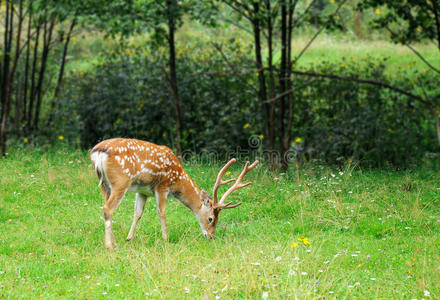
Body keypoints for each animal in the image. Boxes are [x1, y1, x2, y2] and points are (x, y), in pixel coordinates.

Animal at [91, 138, 260, 248]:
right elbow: (162, 212)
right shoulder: (162, 186)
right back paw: (109, 246)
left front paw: (129, 238)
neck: (178, 179)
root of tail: (97, 153)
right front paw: (166, 239)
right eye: (211, 218)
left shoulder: (143, 191)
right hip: (121, 181)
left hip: (104, 184)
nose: (211, 236)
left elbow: (138, 213)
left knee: (106, 207)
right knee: (108, 208)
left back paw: (113, 242)